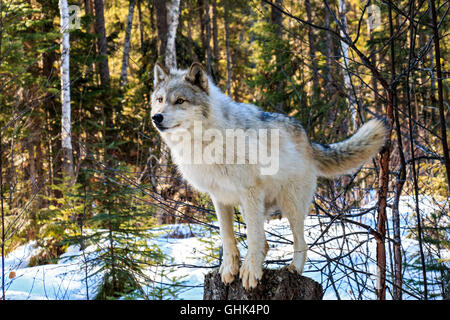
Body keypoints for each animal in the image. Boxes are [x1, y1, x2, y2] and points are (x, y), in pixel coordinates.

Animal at [149, 62, 388, 290]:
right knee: (266, 242)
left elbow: (253, 238)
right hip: (253, 207)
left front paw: (250, 272)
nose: (156, 117)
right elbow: (227, 237)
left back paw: (293, 269)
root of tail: (308, 140)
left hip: (289, 205)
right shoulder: (220, 197)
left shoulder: (250, 191)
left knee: (299, 243)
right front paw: (229, 268)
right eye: (160, 100)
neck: (207, 141)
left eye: (180, 101)